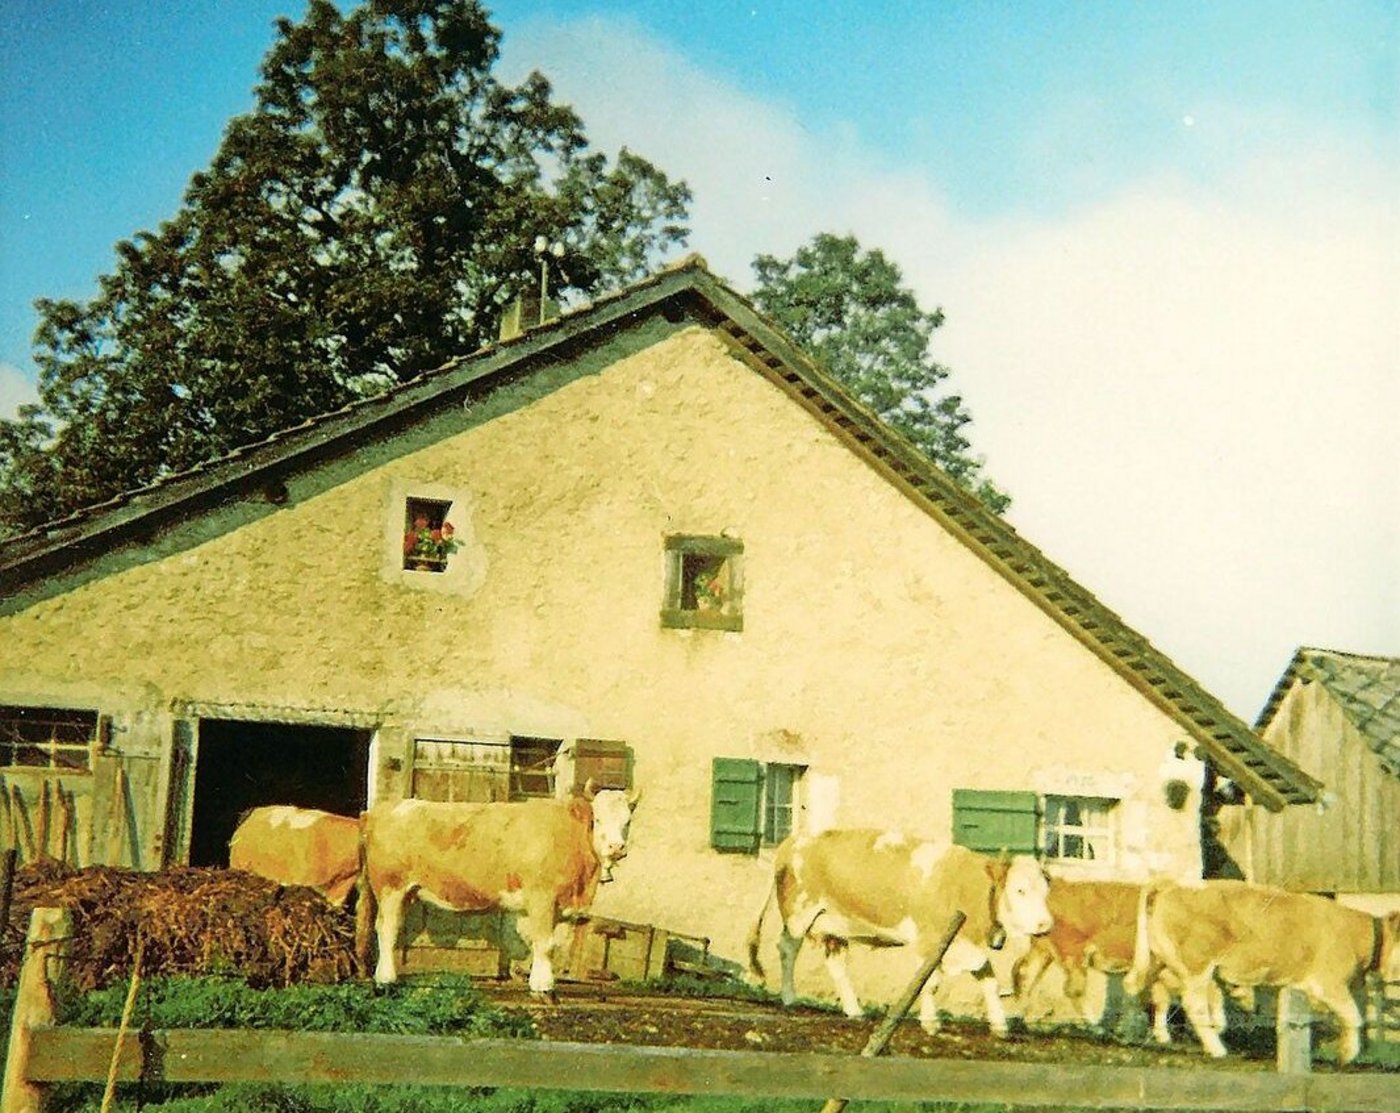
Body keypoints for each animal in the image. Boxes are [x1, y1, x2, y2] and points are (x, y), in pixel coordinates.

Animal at [359, 784, 639, 994]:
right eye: (598, 819)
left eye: (627, 821)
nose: (616, 847)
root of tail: (380, 810)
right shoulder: (542, 897)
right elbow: (544, 943)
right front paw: (543, 985)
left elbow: (544, 944)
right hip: (390, 887)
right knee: (387, 929)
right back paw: (385, 979)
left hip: (405, 891)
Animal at [747, 829, 1053, 1036]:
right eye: (1019, 890)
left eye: (1045, 890)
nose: (1045, 924)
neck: (962, 886)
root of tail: (795, 839)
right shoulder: (929, 941)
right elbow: (930, 983)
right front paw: (931, 1023)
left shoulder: (966, 944)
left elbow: (988, 981)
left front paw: (999, 1025)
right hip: (800, 915)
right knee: (787, 949)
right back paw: (789, 998)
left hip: (835, 926)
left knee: (836, 965)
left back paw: (854, 1010)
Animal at [1124, 878, 1400, 1064]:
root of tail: (1171, 885)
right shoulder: (1328, 983)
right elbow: (1353, 1016)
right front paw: (1347, 1054)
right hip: (1196, 966)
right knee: (1193, 1004)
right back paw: (1216, 1048)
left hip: (1160, 961)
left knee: (1144, 988)